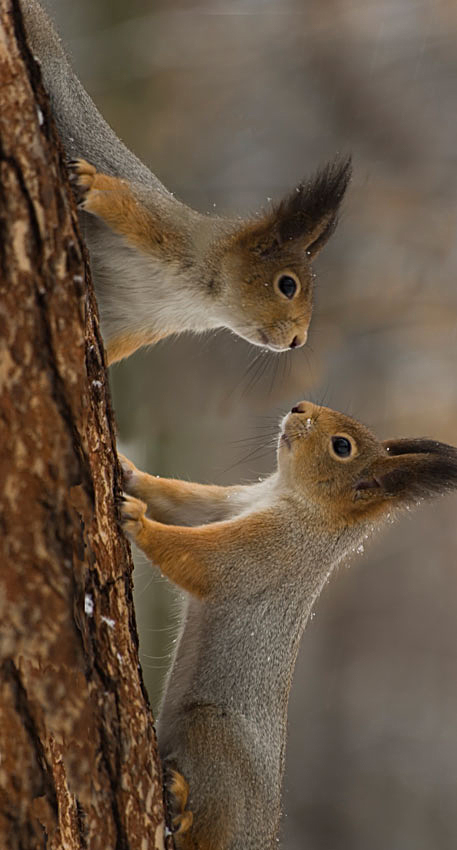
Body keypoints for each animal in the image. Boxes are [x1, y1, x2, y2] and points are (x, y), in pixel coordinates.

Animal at [19, 0, 350, 364]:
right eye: (287, 285)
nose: (298, 340)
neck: (195, 302)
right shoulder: (166, 227)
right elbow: (125, 199)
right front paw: (90, 182)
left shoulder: (132, 325)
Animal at [119, 402, 456, 848]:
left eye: (342, 446)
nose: (300, 406)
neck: (289, 496)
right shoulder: (226, 504)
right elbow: (177, 500)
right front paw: (127, 469)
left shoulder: (271, 547)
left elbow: (203, 560)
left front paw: (136, 520)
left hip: (212, 733)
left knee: (208, 828)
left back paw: (180, 803)